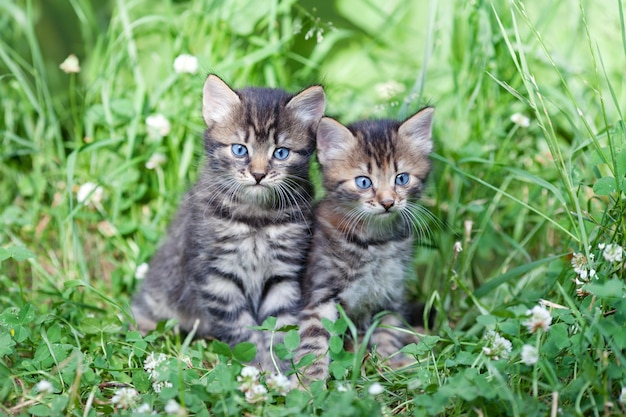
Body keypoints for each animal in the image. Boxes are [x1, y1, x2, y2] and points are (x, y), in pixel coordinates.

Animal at [132, 73, 326, 368]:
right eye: (239, 149)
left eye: (280, 153)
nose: (258, 174)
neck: (257, 218)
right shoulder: (216, 274)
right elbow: (241, 328)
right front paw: (259, 366)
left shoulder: (283, 273)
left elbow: (280, 325)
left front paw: (280, 368)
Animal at [294, 107, 432, 380]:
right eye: (364, 182)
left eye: (401, 178)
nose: (388, 202)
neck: (376, 242)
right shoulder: (320, 294)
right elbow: (313, 340)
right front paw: (308, 382)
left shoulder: (390, 294)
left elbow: (388, 331)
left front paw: (391, 364)